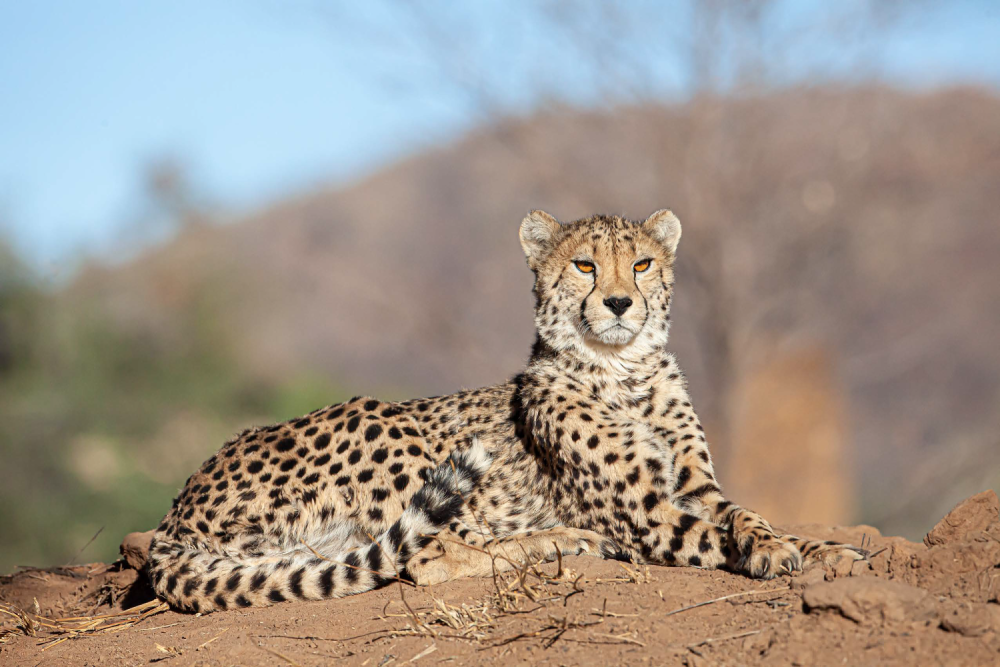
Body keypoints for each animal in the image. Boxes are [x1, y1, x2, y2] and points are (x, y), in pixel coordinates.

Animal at [150, 209, 868, 612]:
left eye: (641, 263)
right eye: (584, 266)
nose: (618, 303)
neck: (624, 372)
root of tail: (175, 515)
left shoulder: (696, 487)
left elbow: (752, 515)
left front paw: (824, 550)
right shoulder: (646, 516)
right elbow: (708, 536)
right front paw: (776, 554)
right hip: (389, 421)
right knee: (427, 554)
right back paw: (570, 540)